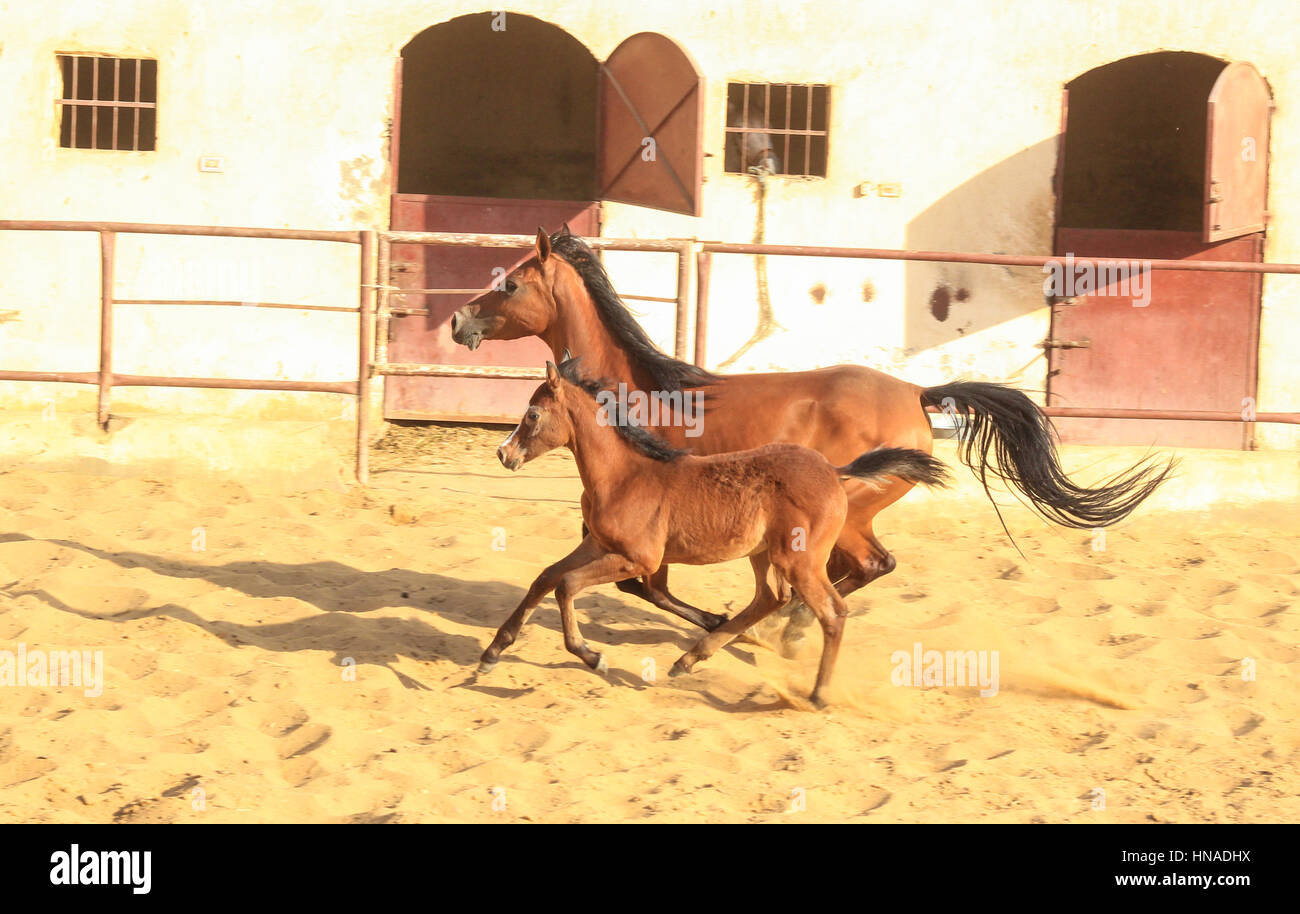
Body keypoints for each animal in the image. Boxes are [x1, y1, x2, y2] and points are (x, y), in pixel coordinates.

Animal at [450, 228, 1173, 647]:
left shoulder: (644, 524)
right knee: (864, 569)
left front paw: (722, 624)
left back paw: (788, 626)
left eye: (510, 282)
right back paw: (785, 623)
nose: (459, 321)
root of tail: (917, 394)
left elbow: (640, 586)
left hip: (851, 512)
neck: (634, 390)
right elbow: (599, 581)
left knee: (863, 568)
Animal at [479, 357, 950, 707]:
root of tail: (835, 471)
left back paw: (816, 694)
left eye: (532, 414)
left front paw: (593, 657)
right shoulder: (598, 543)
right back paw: (689, 660)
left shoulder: (637, 558)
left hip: (800, 560)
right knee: (770, 598)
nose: (504, 454)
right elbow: (546, 577)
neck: (625, 475)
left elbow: (568, 585)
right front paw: (492, 651)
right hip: (764, 554)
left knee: (831, 611)